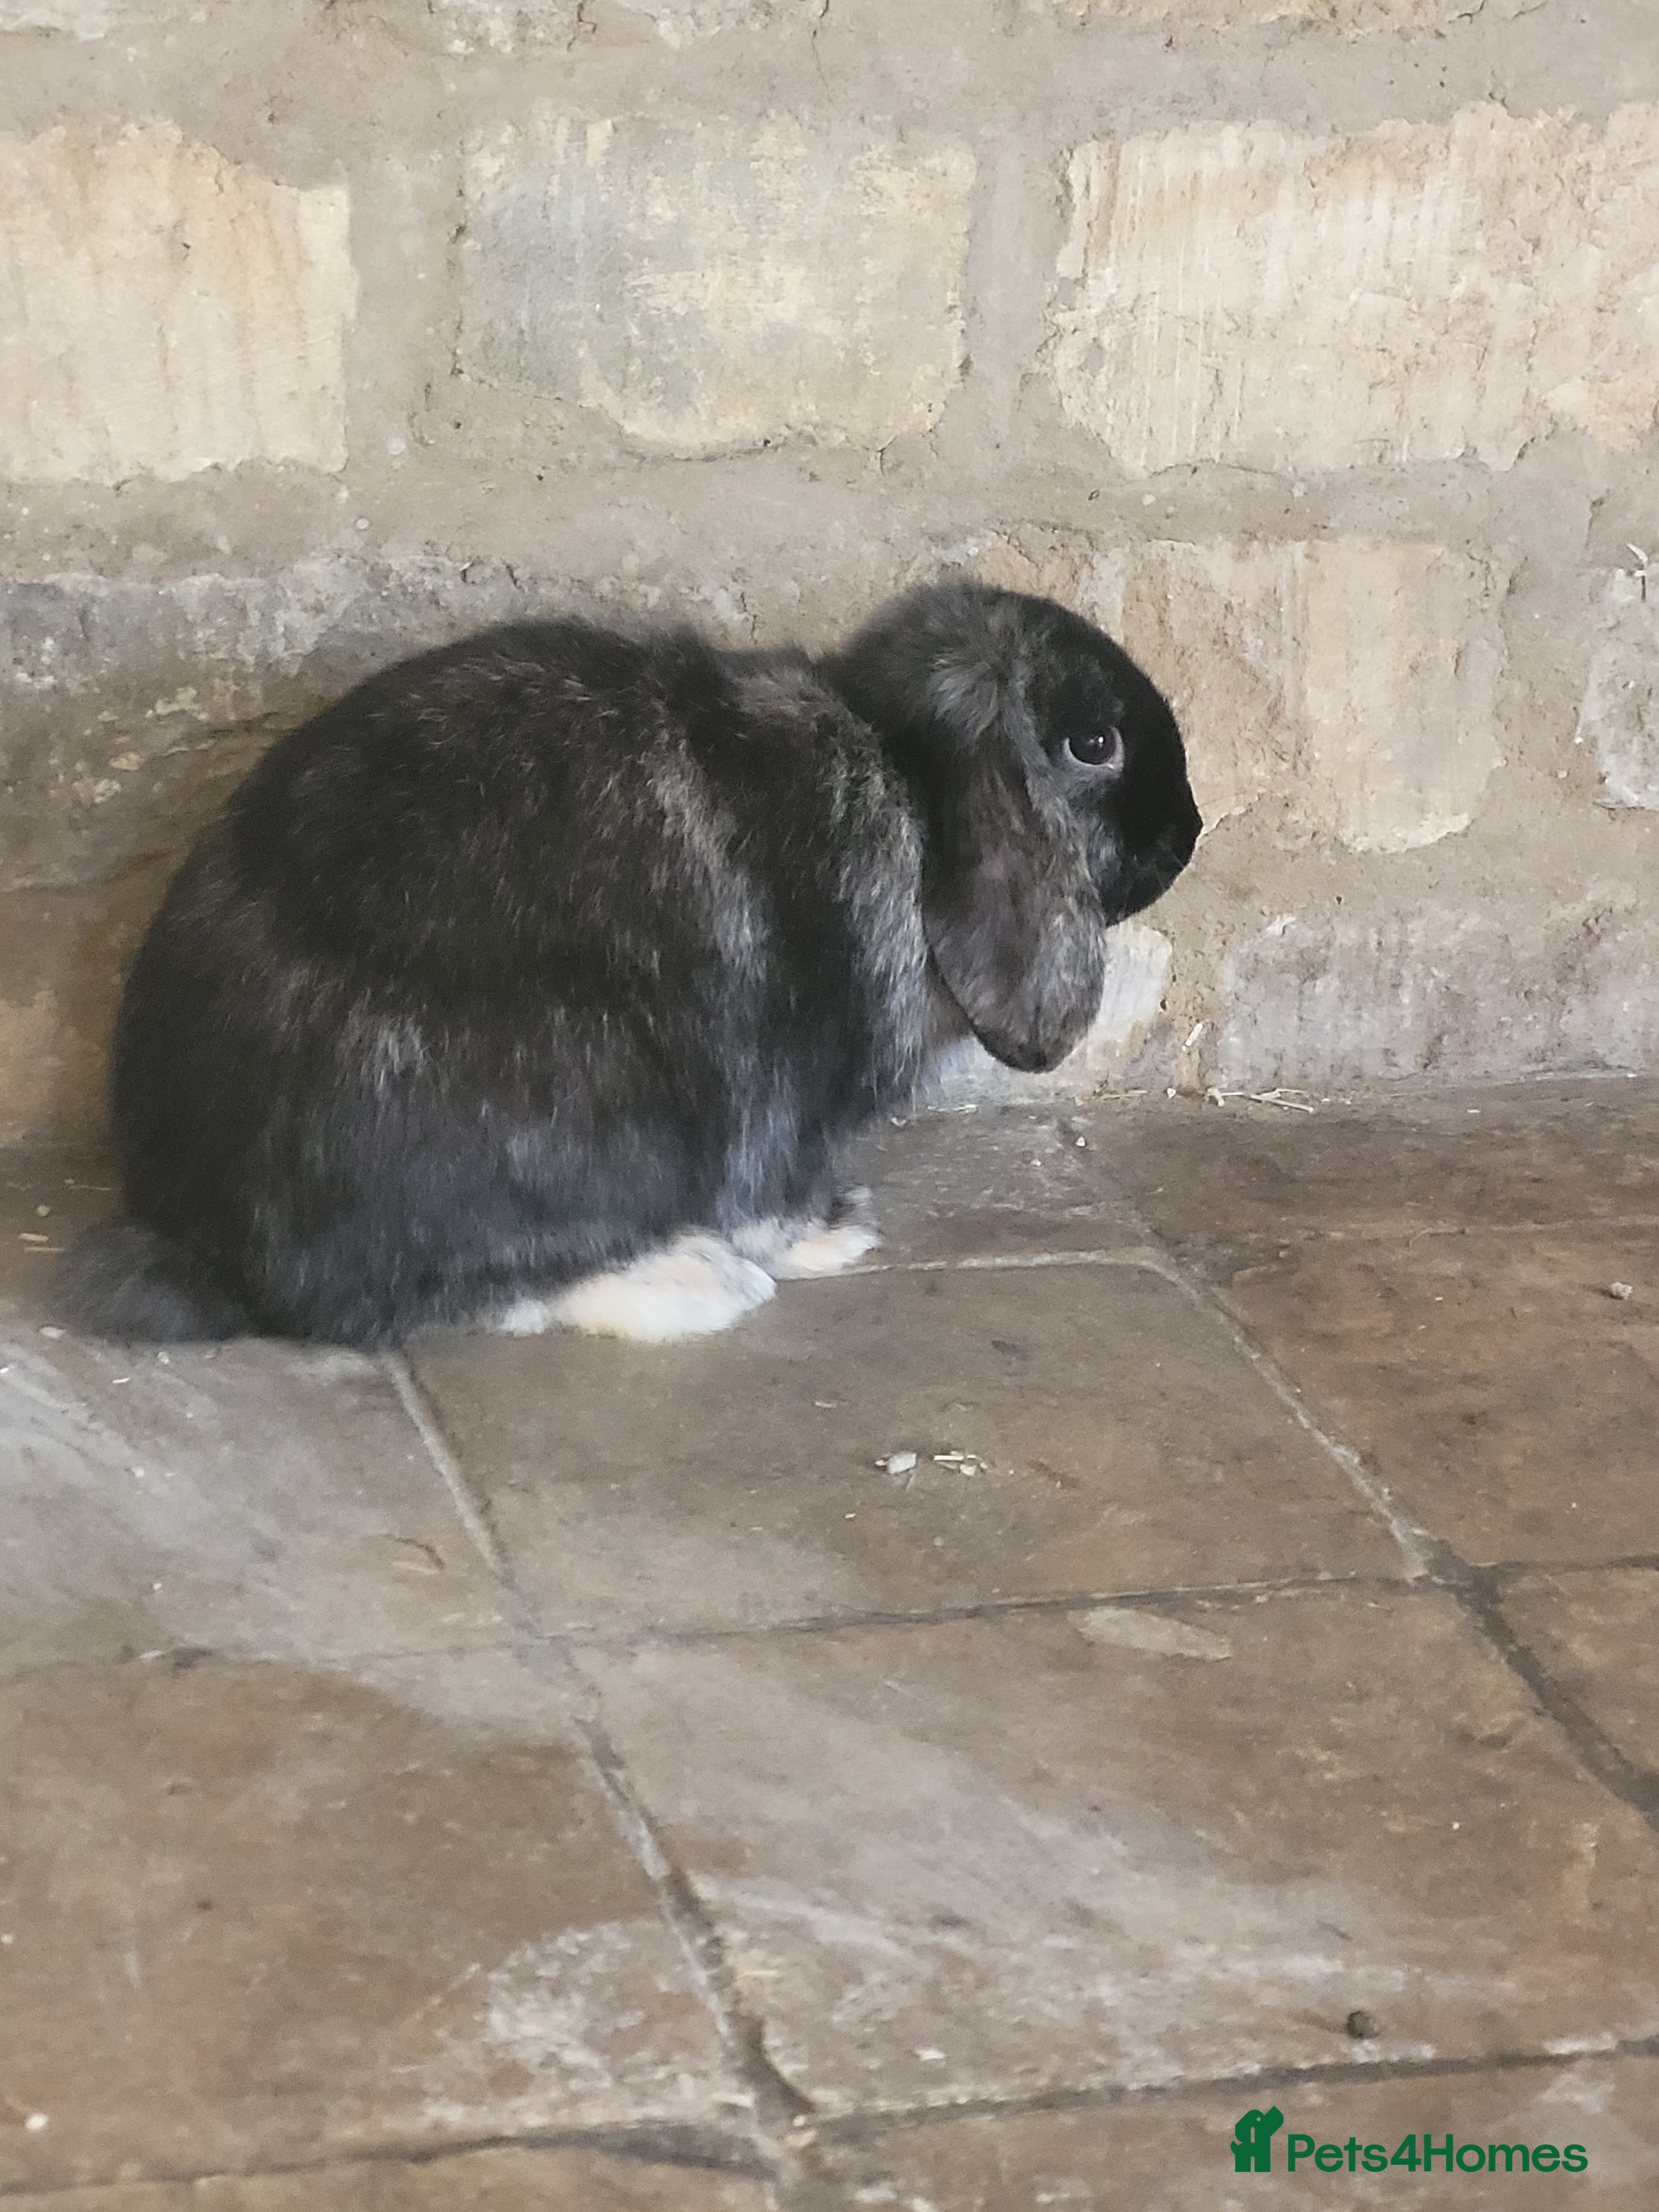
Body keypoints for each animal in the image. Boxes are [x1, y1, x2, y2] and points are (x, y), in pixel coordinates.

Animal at [61, 579, 1201, 1348]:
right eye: (1091, 743)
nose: (1187, 835)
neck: (911, 786)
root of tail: (206, 1245)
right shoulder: (782, 1092)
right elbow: (773, 1186)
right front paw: (831, 1235)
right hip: (588, 1110)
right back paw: (695, 1282)